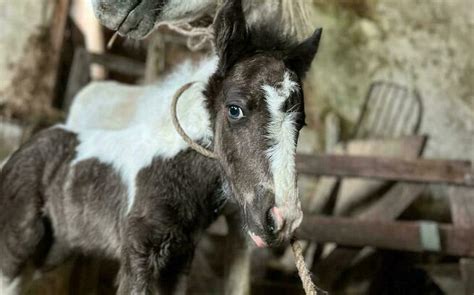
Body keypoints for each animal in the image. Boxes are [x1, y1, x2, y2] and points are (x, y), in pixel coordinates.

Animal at [0, 0, 322, 294]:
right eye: (235, 109)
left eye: (300, 123)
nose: (283, 219)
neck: (170, 168)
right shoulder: (138, 256)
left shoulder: (178, 261)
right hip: (15, 249)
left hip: (51, 250)